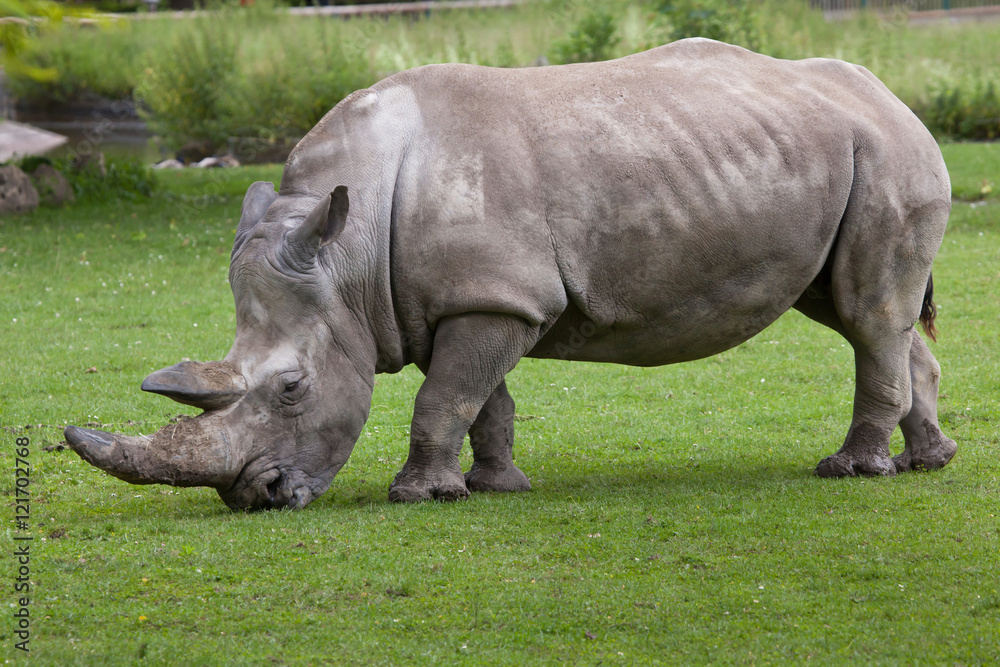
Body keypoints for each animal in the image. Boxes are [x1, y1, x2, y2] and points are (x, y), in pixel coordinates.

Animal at [65, 39, 957, 510]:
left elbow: (442, 397)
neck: (345, 255)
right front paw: (494, 486)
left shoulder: (494, 297)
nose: (256, 494)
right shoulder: (462, 298)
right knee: (860, 310)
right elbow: (480, 398)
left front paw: (419, 495)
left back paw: (853, 471)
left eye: (290, 389)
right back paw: (929, 461)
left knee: (869, 311)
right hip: (841, 154)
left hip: (889, 156)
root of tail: (892, 95)